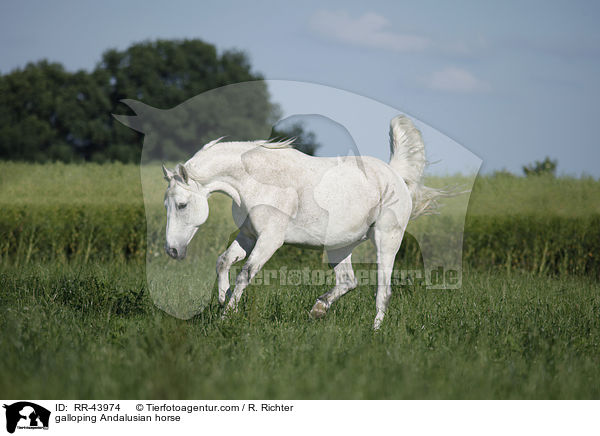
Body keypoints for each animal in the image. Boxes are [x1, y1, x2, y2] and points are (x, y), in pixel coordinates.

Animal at [162, 114, 442, 328]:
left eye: (182, 205)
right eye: (167, 205)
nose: (172, 250)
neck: (258, 181)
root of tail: (394, 174)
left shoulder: (270, 240)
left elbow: (245, 274)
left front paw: (226, 316)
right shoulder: (248, 236)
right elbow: (223, 261)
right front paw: (222, 298)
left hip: (387, 239)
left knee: (383, 291)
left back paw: (375, 331)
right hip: (339, 247)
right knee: (348, 281)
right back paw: (318, 309)